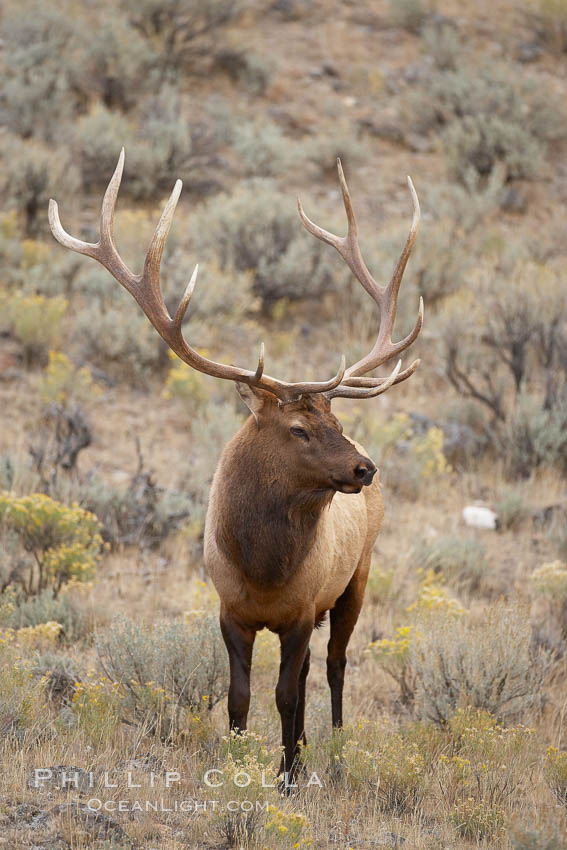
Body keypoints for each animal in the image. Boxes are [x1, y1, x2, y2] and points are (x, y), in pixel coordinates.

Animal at [47, 151, 422, 776]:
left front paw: (288, 776)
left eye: (337, 420)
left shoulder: (302, 609)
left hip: (358, 575)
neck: (264, 570)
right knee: (316, 669)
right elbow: (239, 697)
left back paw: (335, 747)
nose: (365, 468)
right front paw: (242, 764)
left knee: (335, 665)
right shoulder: (229, 610)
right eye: (299, 428)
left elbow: (287, 694)